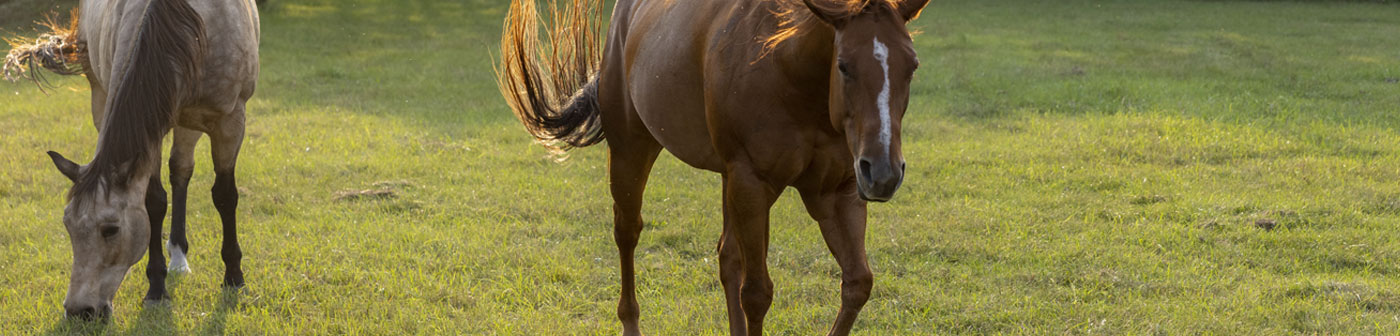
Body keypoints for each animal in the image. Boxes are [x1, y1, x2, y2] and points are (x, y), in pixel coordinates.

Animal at [4, 0, 260, 320]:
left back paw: (180, 256)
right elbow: (154, 202)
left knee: (182, 170)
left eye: (110, 229)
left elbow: (225, 196)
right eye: (67, 226)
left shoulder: (231, 121)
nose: (79, 311)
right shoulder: (152, 130)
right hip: (106, 98)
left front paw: (234, 278)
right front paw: (156, 289)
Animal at [501, 0, 929, 333]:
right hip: (631, 150)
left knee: (728, 256)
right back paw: (630, 320)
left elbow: (857, 283)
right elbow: (756, 293)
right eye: (843, 66)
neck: (788, 70)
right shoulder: (752, 183)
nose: (884, 171)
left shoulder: (837, 191)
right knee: (628, 232)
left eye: (912, 66)